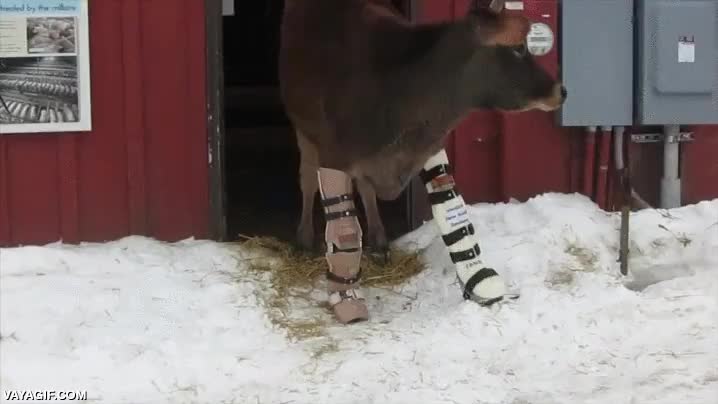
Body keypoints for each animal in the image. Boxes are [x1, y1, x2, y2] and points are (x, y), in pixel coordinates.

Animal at [279, 0, 567, 324]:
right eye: (518, 48)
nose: (561, 91)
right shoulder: (334, 152)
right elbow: (344, 224)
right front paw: (345, 294)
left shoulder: (429, 146)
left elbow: (452, 207)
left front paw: (477, 276)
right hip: (302, 128)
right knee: (307, 181)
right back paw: (305, 238)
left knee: (365, 189)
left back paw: (379, 239)